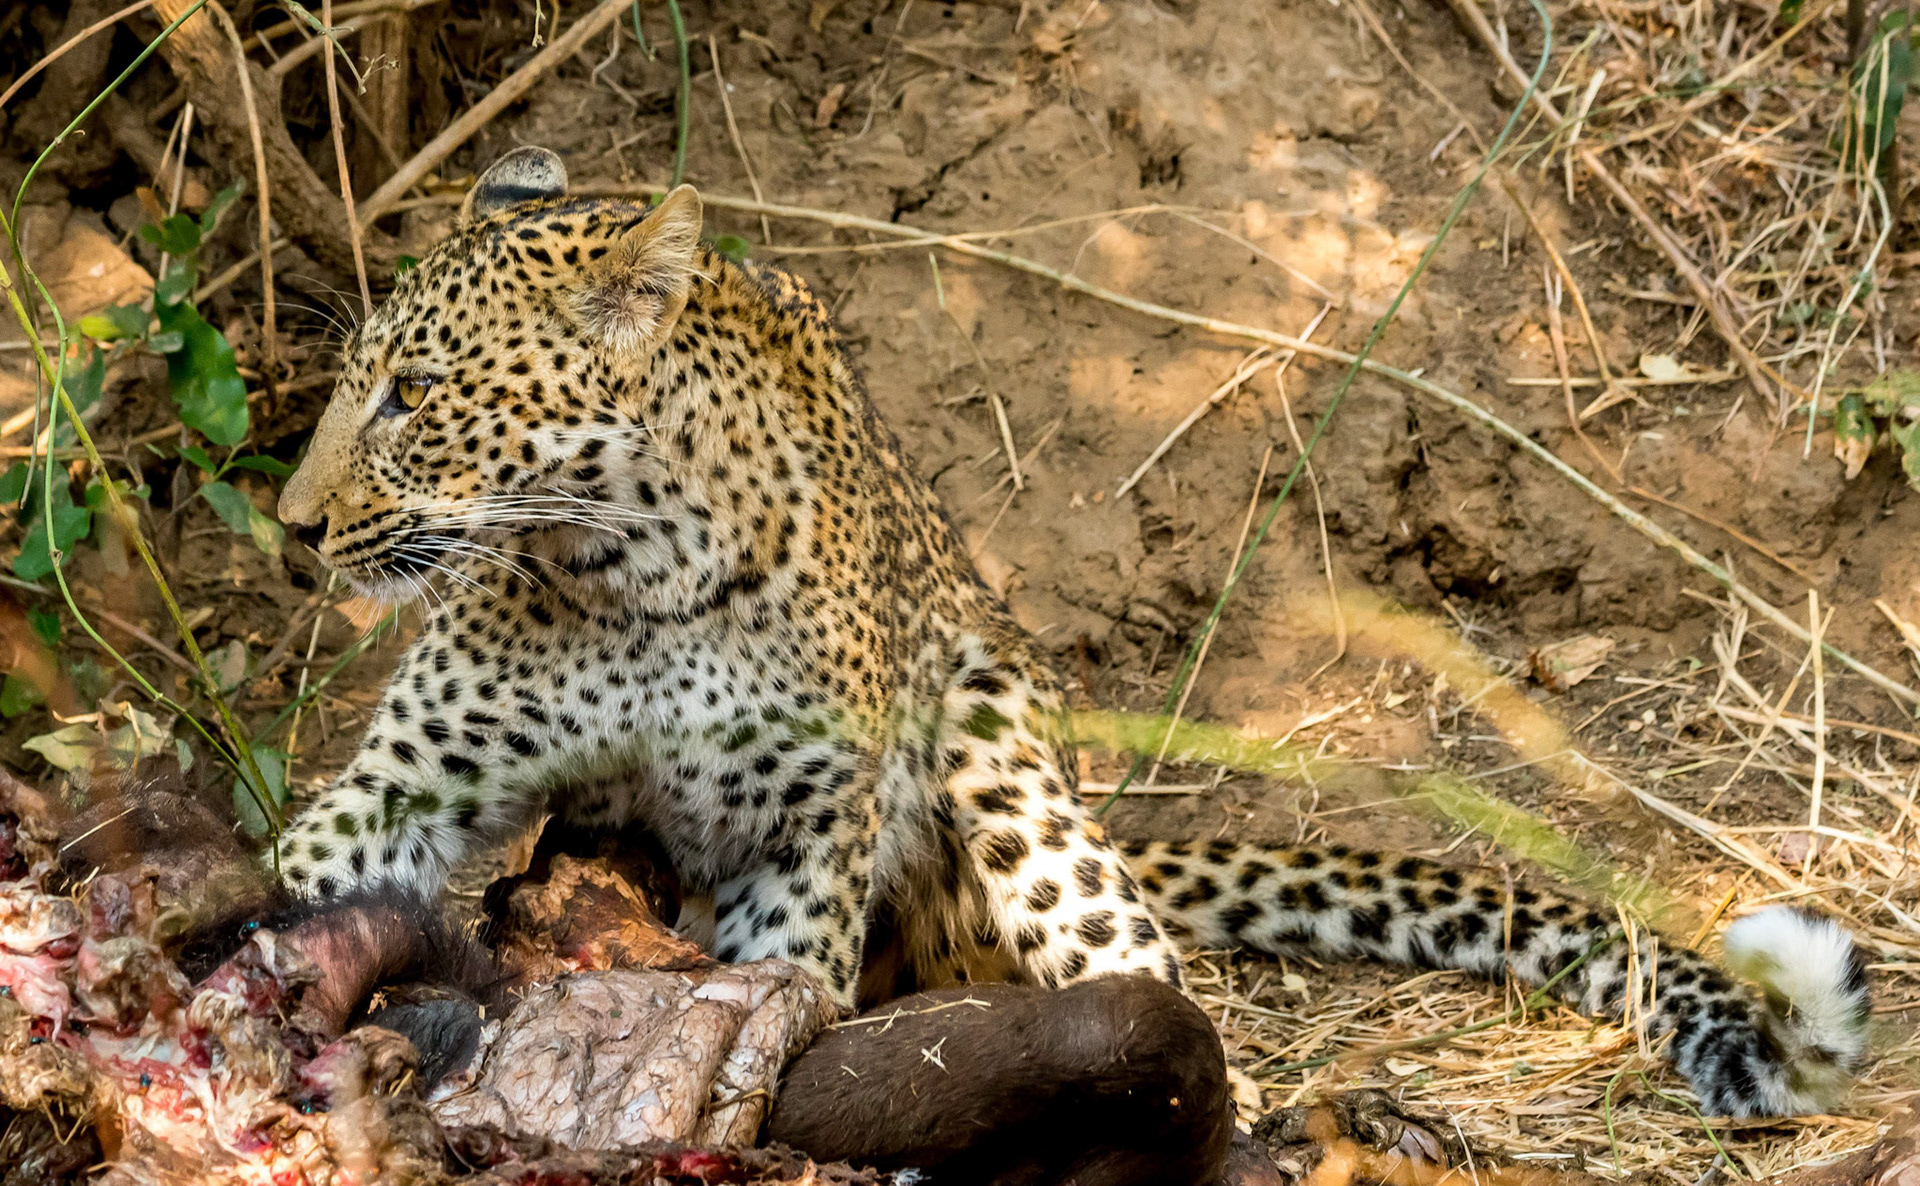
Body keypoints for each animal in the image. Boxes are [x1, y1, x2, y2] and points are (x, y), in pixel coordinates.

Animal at [275, 146, 1870, 1119]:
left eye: (414, 392)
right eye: (362, 381)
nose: (292, 527)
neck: (631, 568)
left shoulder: (803, 833)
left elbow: (784, 976)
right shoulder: (403, 788)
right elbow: (309, 883)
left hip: (1005, 765)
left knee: (1155, 992)